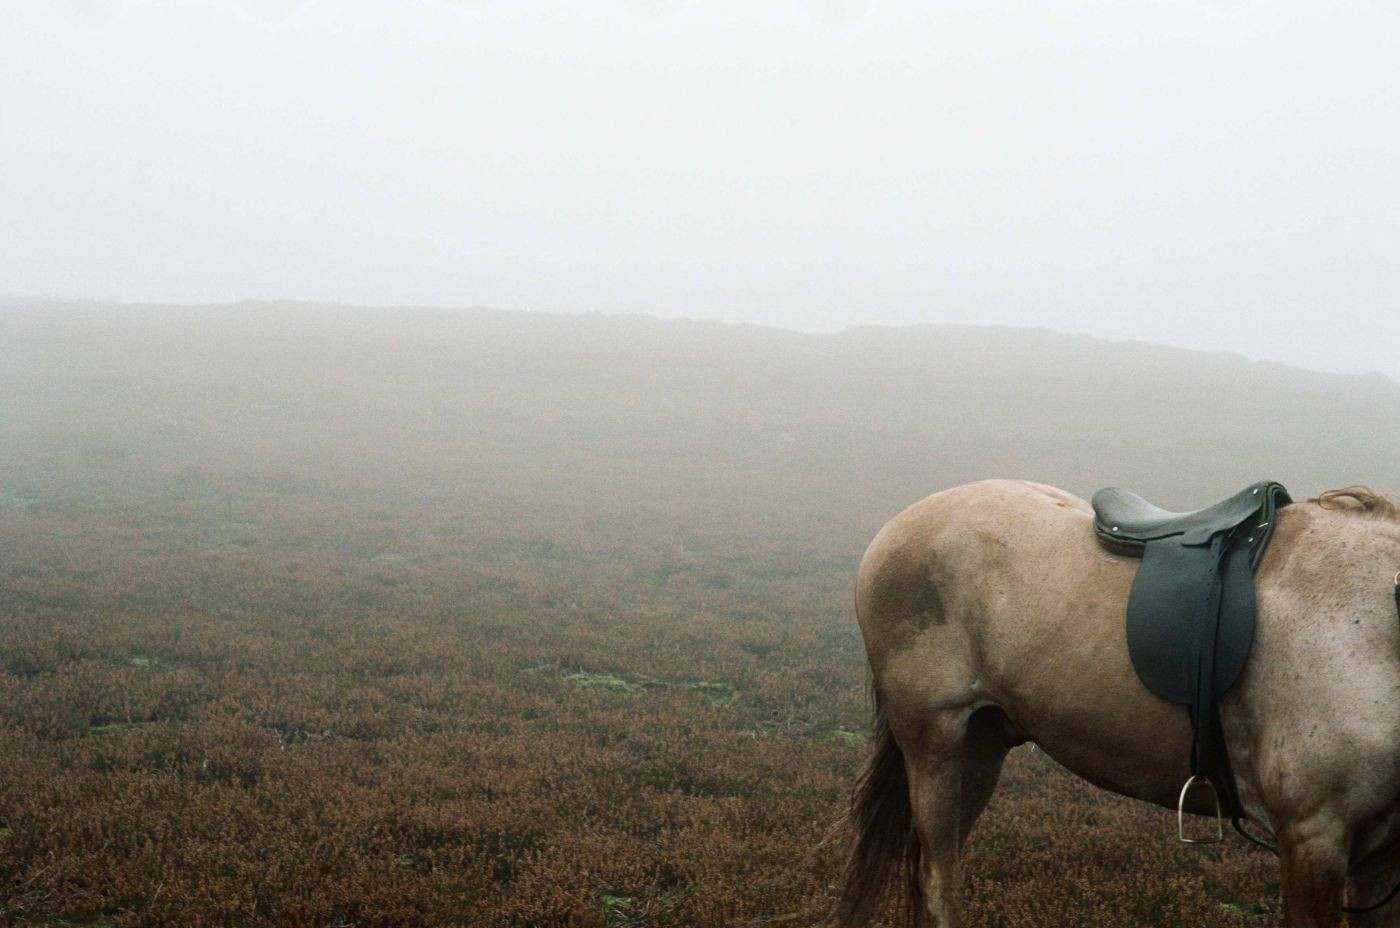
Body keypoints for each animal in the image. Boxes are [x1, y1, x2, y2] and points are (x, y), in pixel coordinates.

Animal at [828, 481, 1400, 923]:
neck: (1372, 625)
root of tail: (901, 523)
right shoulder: (1313, 839)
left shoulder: (1378, 858)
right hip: (934, 743)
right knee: (938, 882)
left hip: (981, 745)